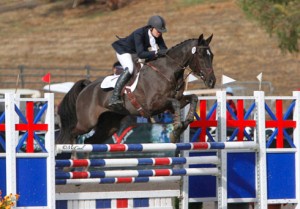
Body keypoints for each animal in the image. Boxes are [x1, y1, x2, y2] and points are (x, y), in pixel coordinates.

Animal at [56, 34, 216, 145]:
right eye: (201, 55)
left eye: (212, 55)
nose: (212, 81)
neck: (168, 71)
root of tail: (87, 87)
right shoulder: (153, 105)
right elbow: (175, 104)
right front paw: (177, 129)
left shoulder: (174, 101)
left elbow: (193, 98)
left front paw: (185, 123)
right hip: (87, 123)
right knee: (72, 133)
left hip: (109, 124)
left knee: (90, 141)